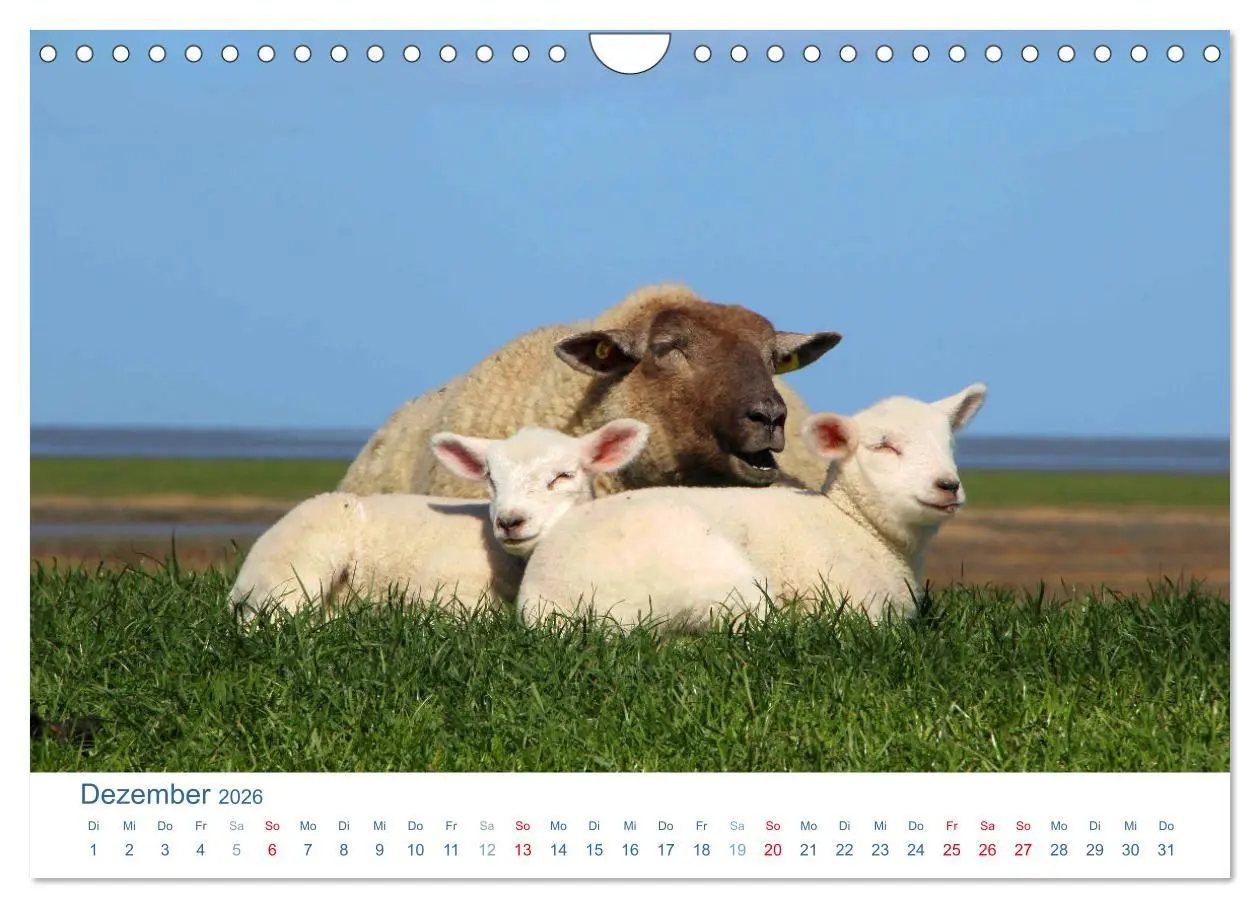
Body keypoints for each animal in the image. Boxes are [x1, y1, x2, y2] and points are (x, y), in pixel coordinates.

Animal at [517, 383, 988, 629]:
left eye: (949, 444)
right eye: (884, 446)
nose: (947, 486)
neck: (855, 525)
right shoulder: (855, 608)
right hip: (714, 573)